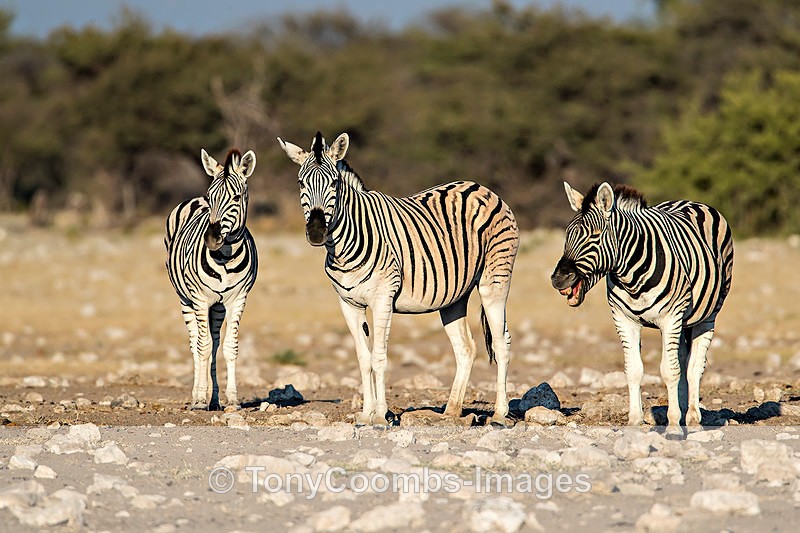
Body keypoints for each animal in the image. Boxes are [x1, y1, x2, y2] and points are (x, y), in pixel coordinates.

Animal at [165, 148, 258, 410]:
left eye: (236, 197)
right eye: (211, 196)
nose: (212, 239)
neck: (225, 255)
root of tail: (193, 199)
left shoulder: (238, 299)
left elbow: (229, 347)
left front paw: (233, 399)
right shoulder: (199, 298)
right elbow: (203, 347)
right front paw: (199, 400)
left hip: (218, 307)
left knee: (215, 342)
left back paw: (214, 399)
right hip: (186, 300)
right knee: (196, 342)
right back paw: (198, 395)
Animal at [277, 132, 519, 426]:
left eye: (334, 183)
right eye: (300, 183)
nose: (315, 232)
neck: (344, 247)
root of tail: (481, 187)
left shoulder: (383, 298)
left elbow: (379, 357)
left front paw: (381, 416)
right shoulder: (348, 304)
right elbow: (363, 358)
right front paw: (365, 414)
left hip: (494, 281)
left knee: (501, 342)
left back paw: (499, 414)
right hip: (454, 297)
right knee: (466, 348)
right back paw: (451, 411)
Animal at [551, 181, 734, 429]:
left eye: (595, 236)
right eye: (567, 235)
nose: (558, 279)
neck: (632, 275)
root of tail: (690, 201)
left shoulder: (671, 318)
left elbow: (669, 370)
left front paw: (673, 422)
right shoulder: (623, 319)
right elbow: (634, 370)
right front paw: (635, 420)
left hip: (708, 315)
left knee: (694, 366)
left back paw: (693, 417)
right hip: (682, 322)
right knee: (682, 360)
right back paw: (683, 409)